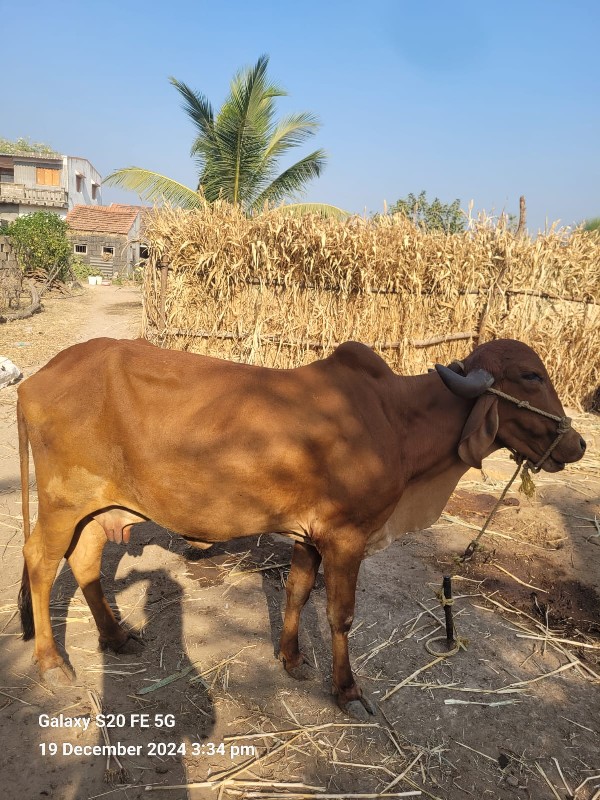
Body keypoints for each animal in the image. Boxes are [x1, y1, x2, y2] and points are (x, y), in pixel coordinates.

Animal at [17, 338, 584, 720]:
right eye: (531, 376)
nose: (577, 445)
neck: (396, 420)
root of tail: (33, 380)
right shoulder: (346, 537)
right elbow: (340, 615)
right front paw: (347, 690)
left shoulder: (310, 536)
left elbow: (297, 592)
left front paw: (291, 659)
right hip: (63, 502)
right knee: (40, 563)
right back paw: (50, 663)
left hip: (99, 508)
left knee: (85, 562)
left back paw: (116, 637)